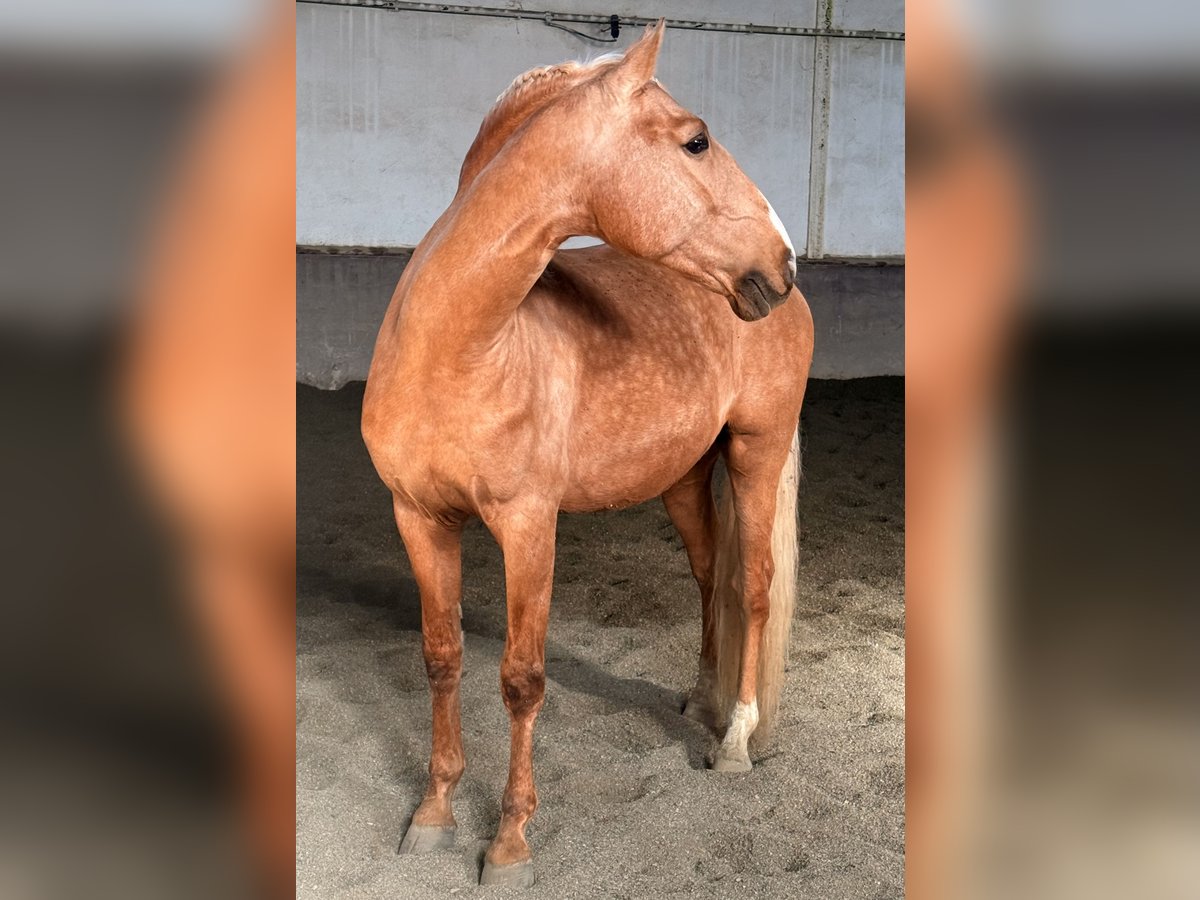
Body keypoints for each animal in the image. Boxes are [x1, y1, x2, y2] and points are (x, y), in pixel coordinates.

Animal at [357, 19, 816, 888]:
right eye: (695, 140)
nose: (782, 260)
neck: (460, 348)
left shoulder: (529, 527)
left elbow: (521, 678)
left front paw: (508, 842)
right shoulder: (417, 518)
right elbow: (441, 656)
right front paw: (432, 814)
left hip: (757, 450)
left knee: (754, 587)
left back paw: (735, 739)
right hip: (683, 479)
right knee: (711, 576)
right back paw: (698, 701)